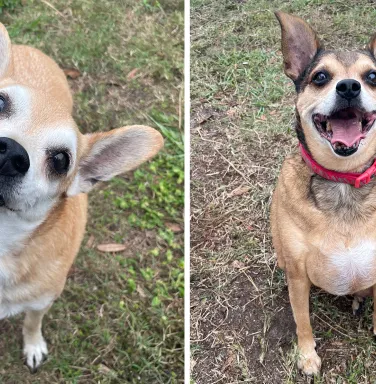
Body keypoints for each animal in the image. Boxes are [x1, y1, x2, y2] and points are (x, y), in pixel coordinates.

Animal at [0, 22, 162, 370]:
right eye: (0, 103)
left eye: (61, 160)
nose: (9, 153)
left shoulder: (41, 303)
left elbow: (32, 323)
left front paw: (33, 345)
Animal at [270, 12, 376, 376]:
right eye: (320, 77)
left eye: (372, 76)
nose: (349, 87)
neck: (344, 181)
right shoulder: (298, 275)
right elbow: (302, 321)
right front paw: (306, 356)